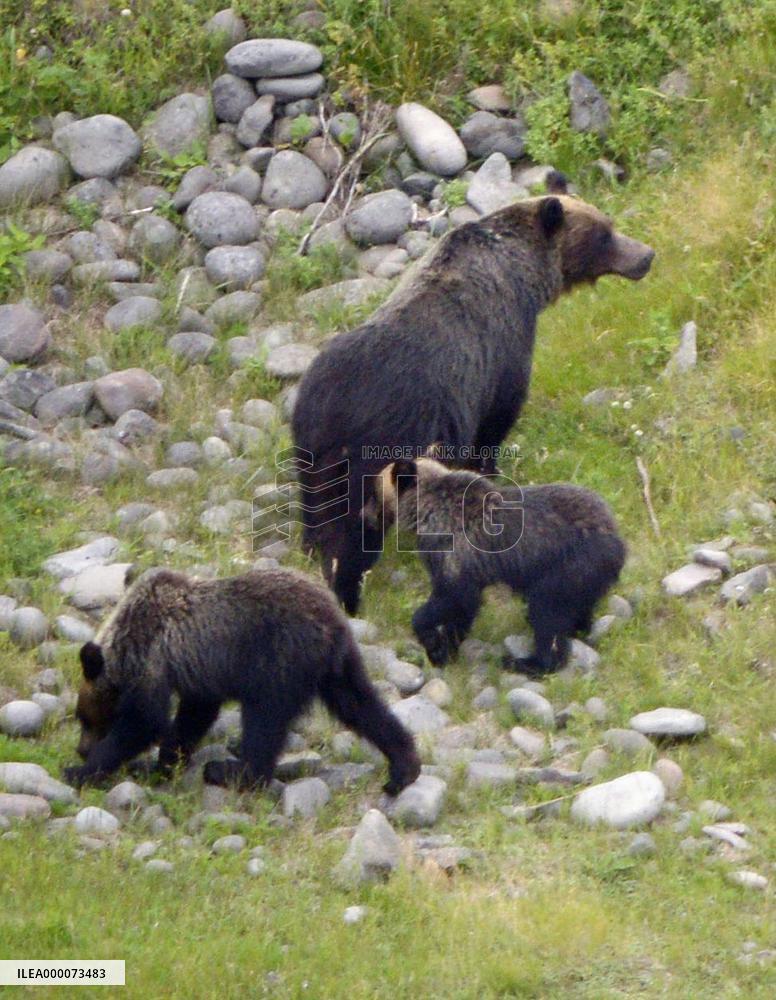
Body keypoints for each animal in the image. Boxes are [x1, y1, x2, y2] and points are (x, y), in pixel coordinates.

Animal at [63, 566, 421, 794]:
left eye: (86, 718)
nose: (80, 749)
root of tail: (332, 621)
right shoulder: (197, 672)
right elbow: (194, 716)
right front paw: (165, 762)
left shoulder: (151, 661)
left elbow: (145, 721)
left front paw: (82, 770)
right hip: (337, 666)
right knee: (361, 705)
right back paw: (403, 766)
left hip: (279, 660)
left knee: (265, 719)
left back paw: (229, 771)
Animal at [291, 176, 652, 614]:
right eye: (604, 234)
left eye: (609, 224)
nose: (646, 255)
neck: (522, 276)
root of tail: (330, 409)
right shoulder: (501, 350)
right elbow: (498, 416)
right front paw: (489, 469)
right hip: (382, 440)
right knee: (356, 519)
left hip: (311, 446)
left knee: (315, 505)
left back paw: (312, 548)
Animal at [369, 455, 626, 674]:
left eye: (375, 490)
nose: (367, 515)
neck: (428, 508)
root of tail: (617, 540)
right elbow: (465, 609)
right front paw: (448, 649)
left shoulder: (453, 549)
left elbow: (455, 596)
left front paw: (432, 642)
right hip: (585, 576)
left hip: (567, 567)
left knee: (546, 612)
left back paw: (525, 661)